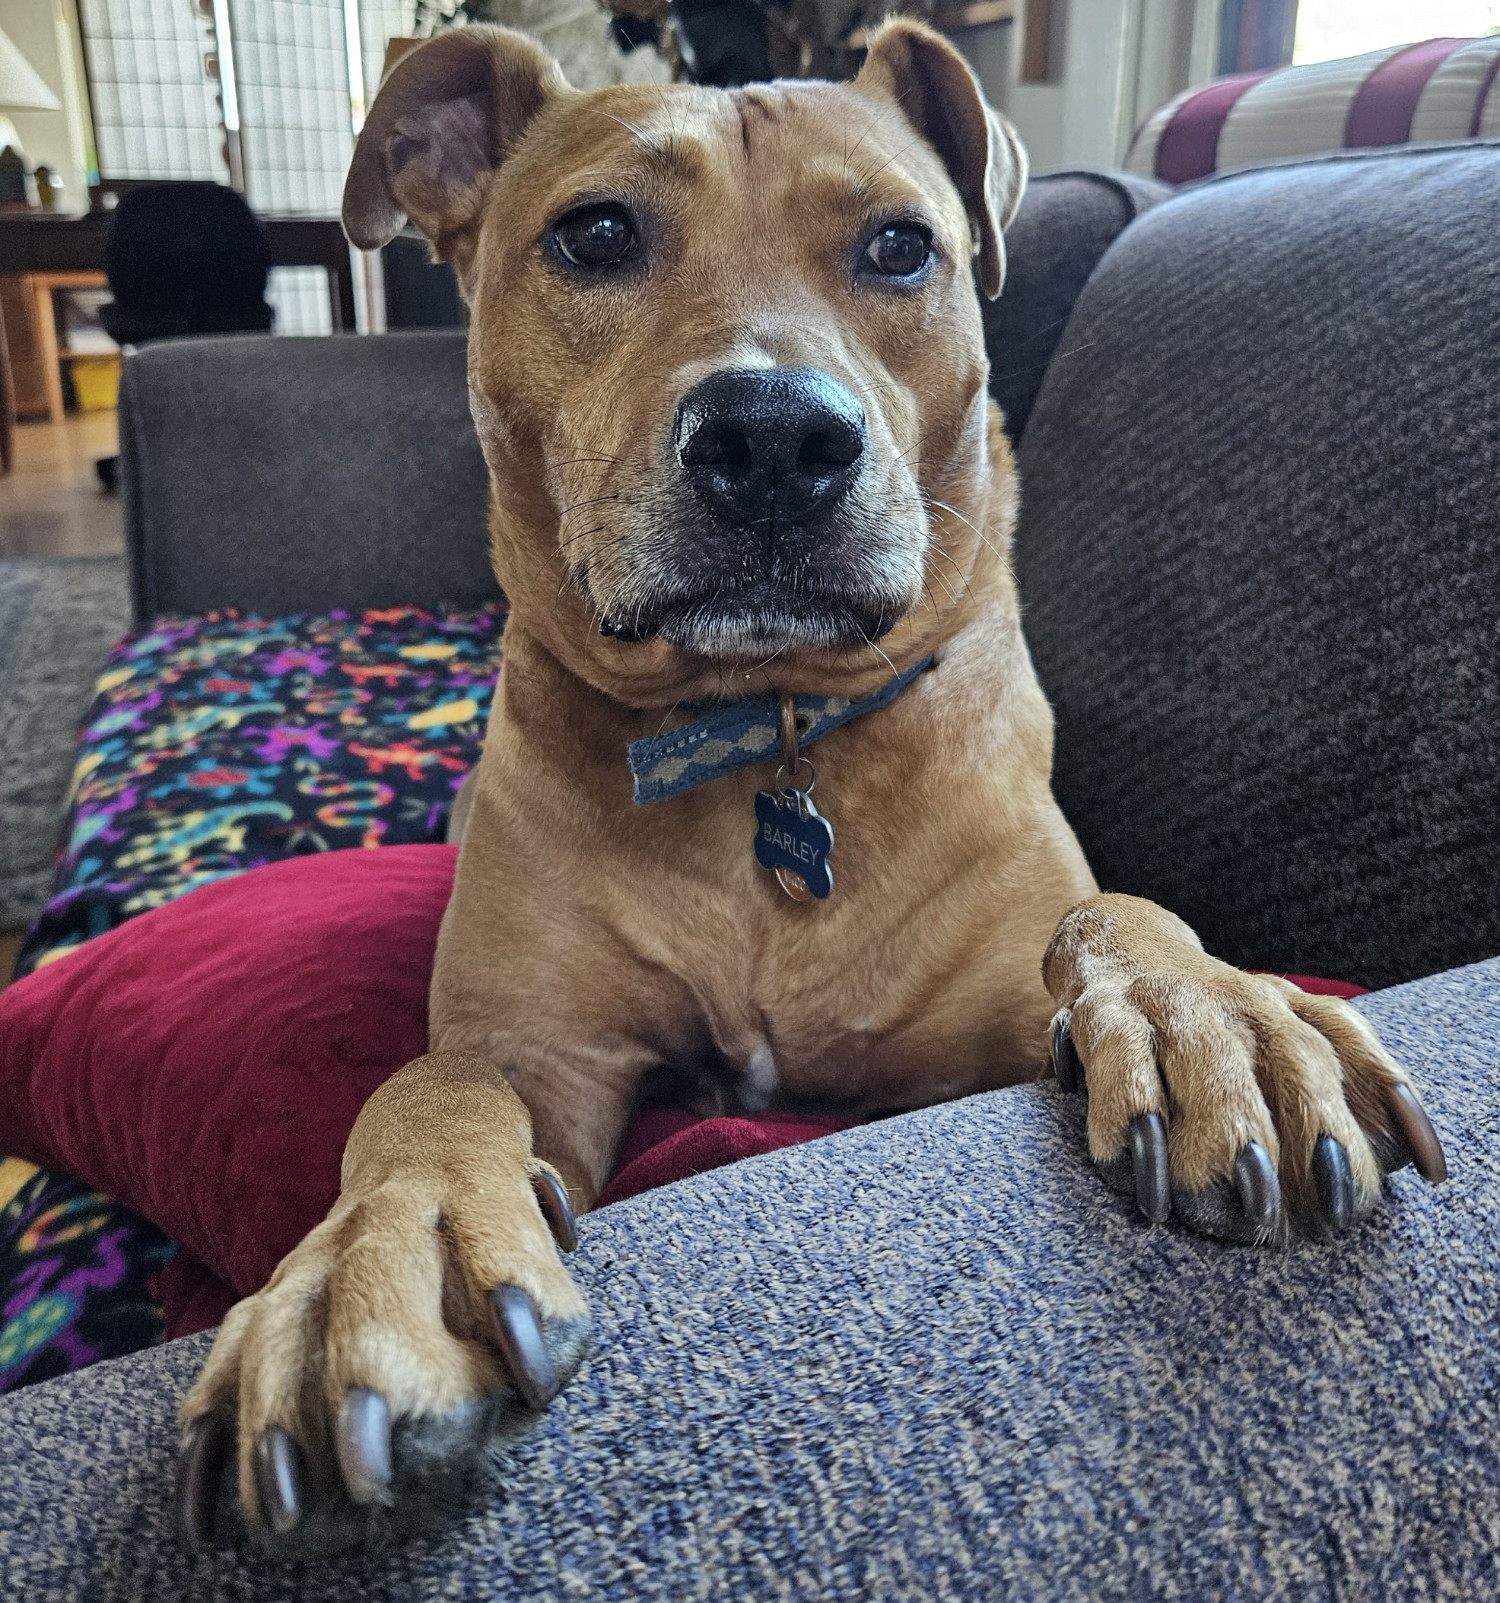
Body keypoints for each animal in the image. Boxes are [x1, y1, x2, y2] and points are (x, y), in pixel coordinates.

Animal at [169, 21, 1448, 1551]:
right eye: (595, 233)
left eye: (902, 246)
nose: (775, 437)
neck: (766, 733)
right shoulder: (543, 1052)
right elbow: (431, 1084)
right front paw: (368, 1260)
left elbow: (1109, 913)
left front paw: (1224, 1017)